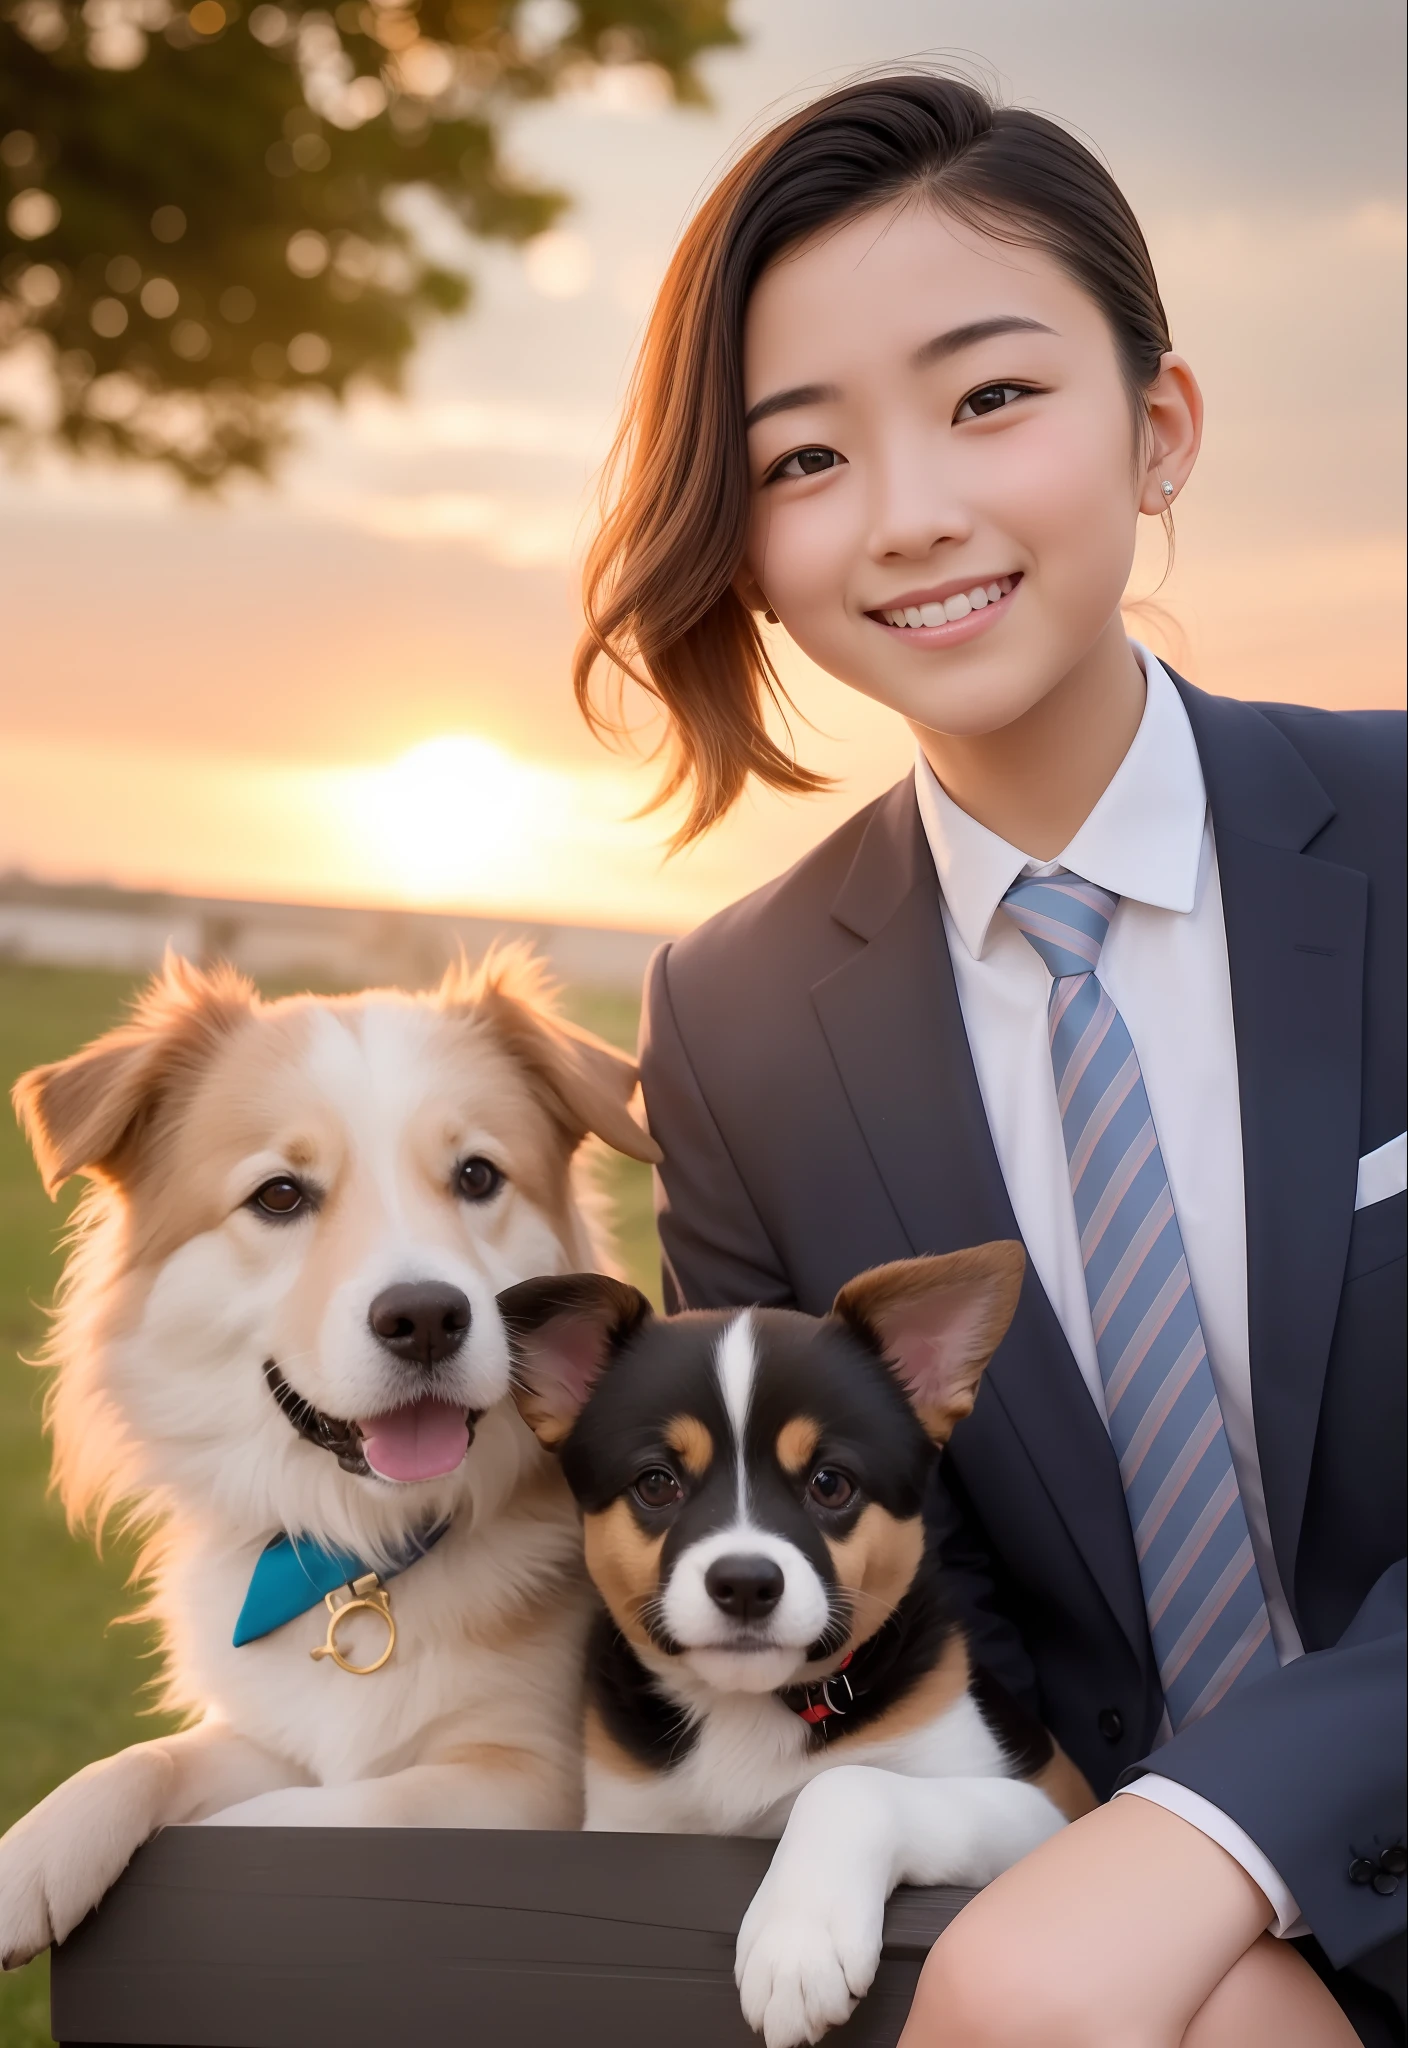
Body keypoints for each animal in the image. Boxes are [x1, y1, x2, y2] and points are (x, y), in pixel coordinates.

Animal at [0, 950, 654, 1974]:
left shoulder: (532, 1778)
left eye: (477, 1175)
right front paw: (37, 1850)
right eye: (279, 1195)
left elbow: (318, 1818)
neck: (368, 1557)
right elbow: (155, 1759)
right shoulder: (271, 1734)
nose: (426, 1317)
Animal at [501, 1245, 1096, 2048]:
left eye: (830, 1483)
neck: (746, 1708)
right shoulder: (632, 1822)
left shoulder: (1033, 1809)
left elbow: (845, 1783)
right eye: (656, 1483)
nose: (746, 1584)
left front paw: (796, 1946)